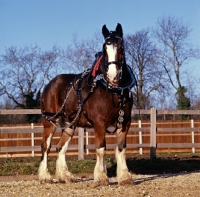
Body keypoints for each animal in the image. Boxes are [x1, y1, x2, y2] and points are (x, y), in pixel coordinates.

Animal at [38, 23, 137, 185]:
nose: (113, 75)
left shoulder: (125, 122)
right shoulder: (99, 123)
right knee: (46, 146)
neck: (114, 90)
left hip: (70, 125)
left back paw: (64, 175)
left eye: (121, 47)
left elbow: (121, 148)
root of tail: (50, 85)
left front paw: (124, 177)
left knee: (60, 148)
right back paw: (45, 176)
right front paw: (101, 177)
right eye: (105, 48)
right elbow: (101, 148)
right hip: (49, 123)